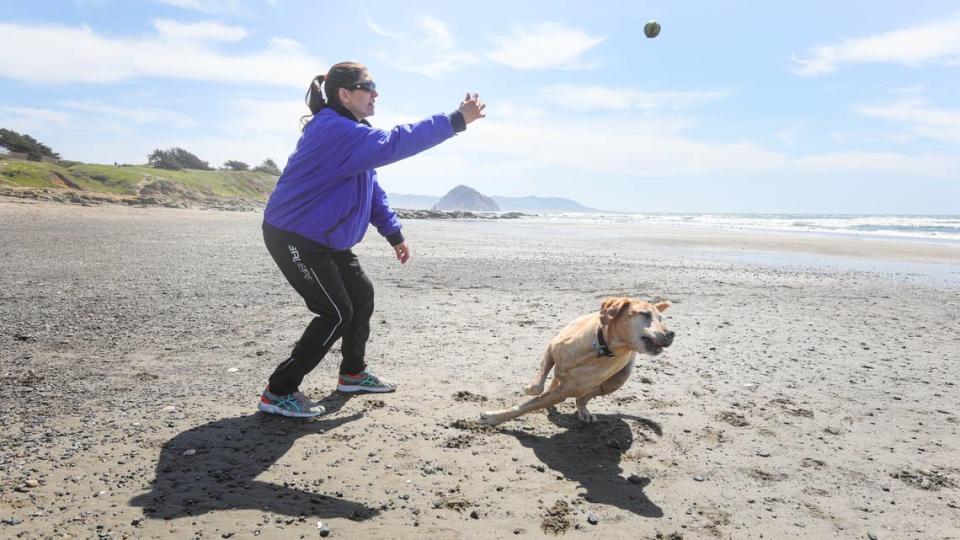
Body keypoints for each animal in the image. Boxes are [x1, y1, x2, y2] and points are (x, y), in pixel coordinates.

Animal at [480, 296, 676, 426]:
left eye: (661, 318)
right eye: (644, 314)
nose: (671, 334)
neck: (600, 348)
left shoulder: (567, 390)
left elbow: (528, 406)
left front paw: (493, 417)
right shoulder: (552, 347)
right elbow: (539, 384)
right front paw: (530, 389)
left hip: (618, 379)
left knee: (585, 396)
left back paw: (583, 410)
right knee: (556, 378)